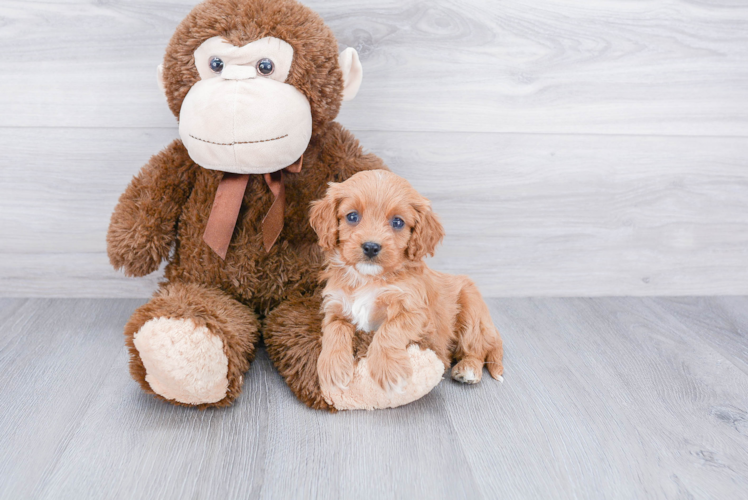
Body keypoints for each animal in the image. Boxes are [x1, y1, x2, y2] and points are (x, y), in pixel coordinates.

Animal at [306, 170, 506, 392]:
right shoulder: (335, 308)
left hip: (472, 312)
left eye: (398, 222)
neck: (368, 279)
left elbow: (390, 329)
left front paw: (389, 370)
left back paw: (468, 368)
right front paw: (332, 368)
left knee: (476, 349)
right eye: (352, 216)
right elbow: (335, 330)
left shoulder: (416, 312)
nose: (371, 247)